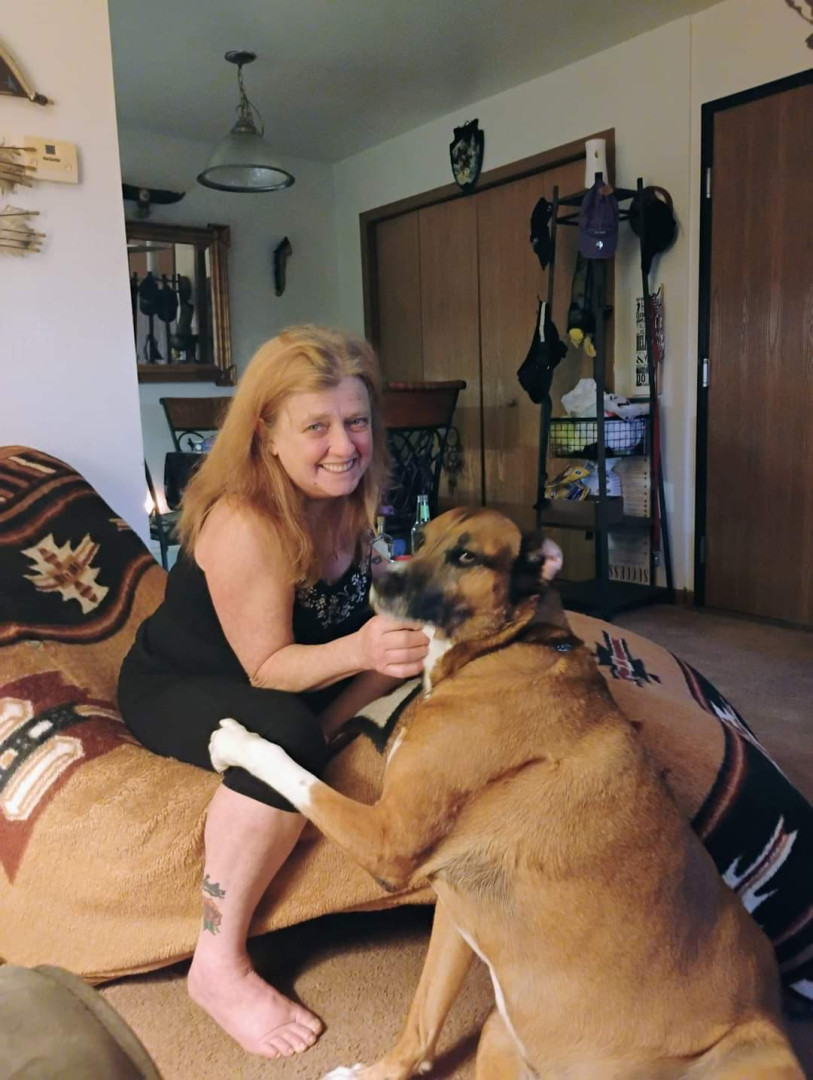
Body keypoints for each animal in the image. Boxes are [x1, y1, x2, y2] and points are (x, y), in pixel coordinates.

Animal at [209, 507, 802, 1079]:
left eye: (467, 555)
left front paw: (236, 742)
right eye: (421, 536)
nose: (379, 575)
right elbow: (421, 1018)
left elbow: (293, 771)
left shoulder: (389, 839)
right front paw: (378, 1072)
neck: (501, 649)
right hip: (499, 1032)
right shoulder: (454, 911)